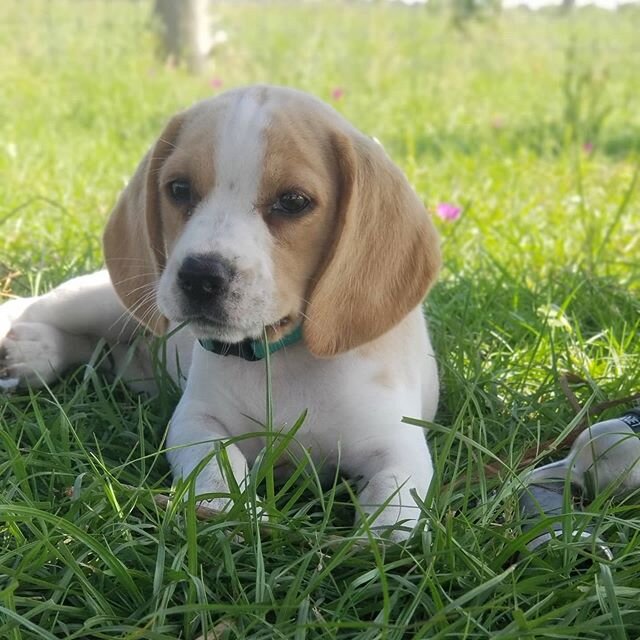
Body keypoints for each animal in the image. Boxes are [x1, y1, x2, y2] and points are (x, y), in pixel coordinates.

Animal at [0, 84, 440, 536]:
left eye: (293, 201)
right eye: (179, 189)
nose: (199, 277)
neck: (280, 360)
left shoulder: (397, 445)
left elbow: (395, 511)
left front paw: (377, 542)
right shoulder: (197, 420)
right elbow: (217, 464)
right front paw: (235, 513)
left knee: (99, 352)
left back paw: (34, 354)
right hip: (109, 301)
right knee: (37, 308)